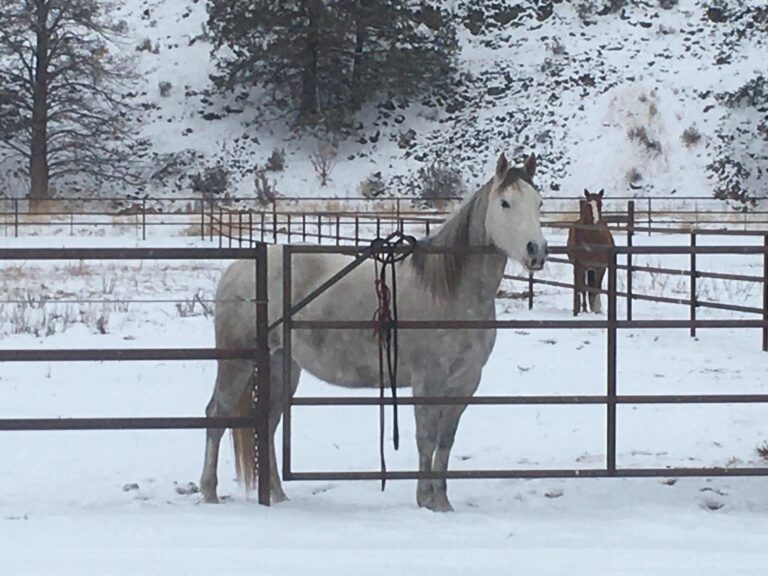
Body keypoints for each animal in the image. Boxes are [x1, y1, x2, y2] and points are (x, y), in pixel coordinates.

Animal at [201, 154, 548, 512]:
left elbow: (446, 440)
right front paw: (425, 499)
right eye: (505, 203)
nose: (536, 251)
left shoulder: (465, 383)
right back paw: (210, 492)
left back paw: (278, 496)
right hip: (237, 361)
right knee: (217, 413)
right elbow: (426, 438)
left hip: (282, 365)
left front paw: (442, 502)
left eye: (539, 203)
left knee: (268, 424)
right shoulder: (428, 381)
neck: (448, 291)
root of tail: (238, 268)